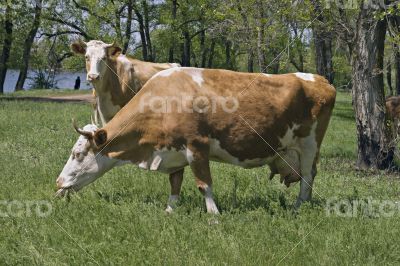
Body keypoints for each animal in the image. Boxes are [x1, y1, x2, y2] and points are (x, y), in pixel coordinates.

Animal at [56, 68, 336, 212]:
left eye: (78, 154)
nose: (58, 182)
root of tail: (321, 80)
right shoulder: (172, 151)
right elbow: (175, 184)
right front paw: (169, 212)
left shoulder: (197, 147)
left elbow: (204, 185)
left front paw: (214, 216)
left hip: (309, 146)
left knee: (308, 178)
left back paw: (298, 208)